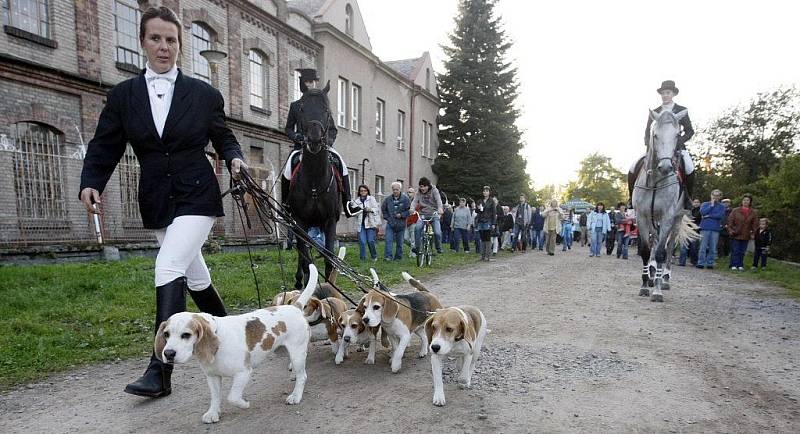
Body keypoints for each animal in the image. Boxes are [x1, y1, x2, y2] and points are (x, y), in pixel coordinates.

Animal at [284, 83, 340, 290]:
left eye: (327, 110)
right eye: (301, 108)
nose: (314, 139)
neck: (315, 181)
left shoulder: (330, 221)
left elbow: (328, 258)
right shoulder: (299, 222)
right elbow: (306, 259)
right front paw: (308, 282)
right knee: (302, 254)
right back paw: (299, 279)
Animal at [632, 109, 700, 302]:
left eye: (677, 135)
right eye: (655, 135)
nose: (665, 167)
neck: (655, 181)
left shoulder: (668, 216)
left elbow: (662, 252)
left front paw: (657, 291)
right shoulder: (642, 216)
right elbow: (646, 250)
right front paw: (644, 285)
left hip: (676, 220)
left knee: (669, 248)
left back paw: (665, 279)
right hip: (654, 221)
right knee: (655, 244)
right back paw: (653, 275)